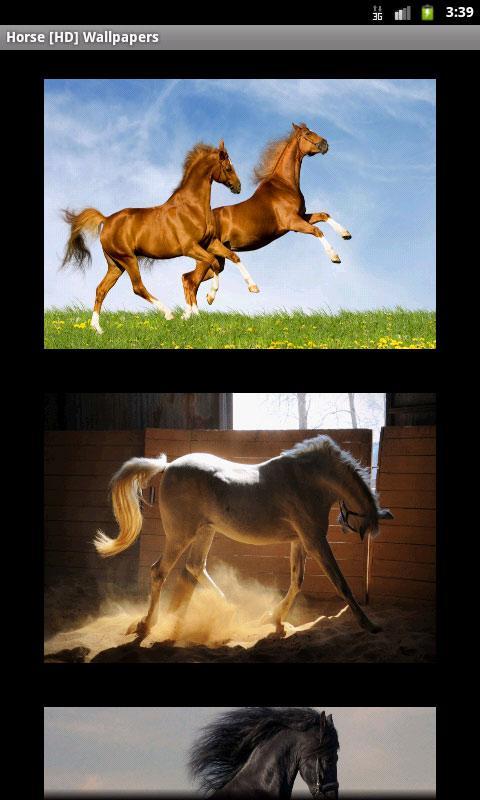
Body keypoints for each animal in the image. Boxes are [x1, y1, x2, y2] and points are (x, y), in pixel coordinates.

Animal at [61, 141, 253, 331]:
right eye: (228, 168)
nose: (238, 187)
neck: (192, 207)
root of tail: (106, 220)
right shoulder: (190, 247)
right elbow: (213, 263)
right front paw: (209, 298)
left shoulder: (210, 243)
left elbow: (233, 257)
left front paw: (253, 287)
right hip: (128, 258)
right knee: (137, 287)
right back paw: (168, 313)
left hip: (115, 264)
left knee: (101, 289)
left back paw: (97, 329)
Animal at [94, 434, 393, 640]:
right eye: (364, 526)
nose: (347, 527)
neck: (307, 480)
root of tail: (168, 467)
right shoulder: (315, 540)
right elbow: (340, 583)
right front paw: (369, 624)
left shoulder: (300, 541)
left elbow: (297, 581)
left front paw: (275, 619)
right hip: (180, 535)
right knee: (159, 572)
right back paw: (146, 624)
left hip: (205, 531)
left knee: (195, 566)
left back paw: (228, 609)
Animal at [182, 123, 352, 308]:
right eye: (308, 133)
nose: (325, 144)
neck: (284, 185)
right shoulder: (293, 223)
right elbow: (317, 231)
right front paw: (335, 257)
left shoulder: (302, 216)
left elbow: (323, 215)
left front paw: (345, 234)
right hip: (207, 258)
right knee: (191, 282)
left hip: (216, 258)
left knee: (189, 278)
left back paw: (204, 301)